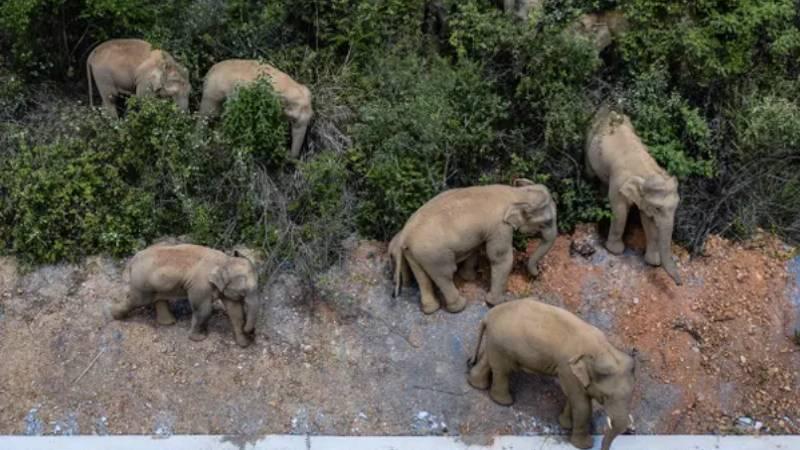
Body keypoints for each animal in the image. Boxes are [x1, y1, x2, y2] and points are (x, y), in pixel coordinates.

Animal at [108, 243, 260, 348]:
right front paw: (199, 338)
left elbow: (235, 312)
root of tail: (132, 260)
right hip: (142, 284)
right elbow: (204, 310)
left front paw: (243, 344)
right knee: (136, 300)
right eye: (244, 291)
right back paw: (115, 315)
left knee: (159, 299)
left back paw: (169, 323)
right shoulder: (200, 285)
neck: (225, 260)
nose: (252, 333)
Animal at [388, 178, 556, 312]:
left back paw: (430, 309)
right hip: (434, 254)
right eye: (546, 222)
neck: (517, 194)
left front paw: (469, 278)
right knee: (445, 274)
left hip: (414, 253)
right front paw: (496, 302)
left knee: (422, 276)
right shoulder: (500, 227)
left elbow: (475, 248)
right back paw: (459, 307)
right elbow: (500, 258)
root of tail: (405, 234)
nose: (537, 274)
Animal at [466, 298, 636, 450]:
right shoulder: (567, 368)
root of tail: (489, 315)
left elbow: (572, 398)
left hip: (496, 342)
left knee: (489, 360)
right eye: (606, 397)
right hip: (503, 343)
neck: (603, 350)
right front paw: (584, 445)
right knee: (503, 370)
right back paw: (505, 402)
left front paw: (565, 424)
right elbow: (582, 405)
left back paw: (477, 385)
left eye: (630, 396)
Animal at [584, 106, 684, 284]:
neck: (646, 171)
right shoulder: (619, 183)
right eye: (657, 208)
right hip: (588, 140)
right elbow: (620, 211)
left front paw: (653, 262)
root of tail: (607, 109)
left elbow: (647, 220)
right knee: (590, 172)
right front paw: (615, 251)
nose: (679, 284)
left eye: (676, 207)